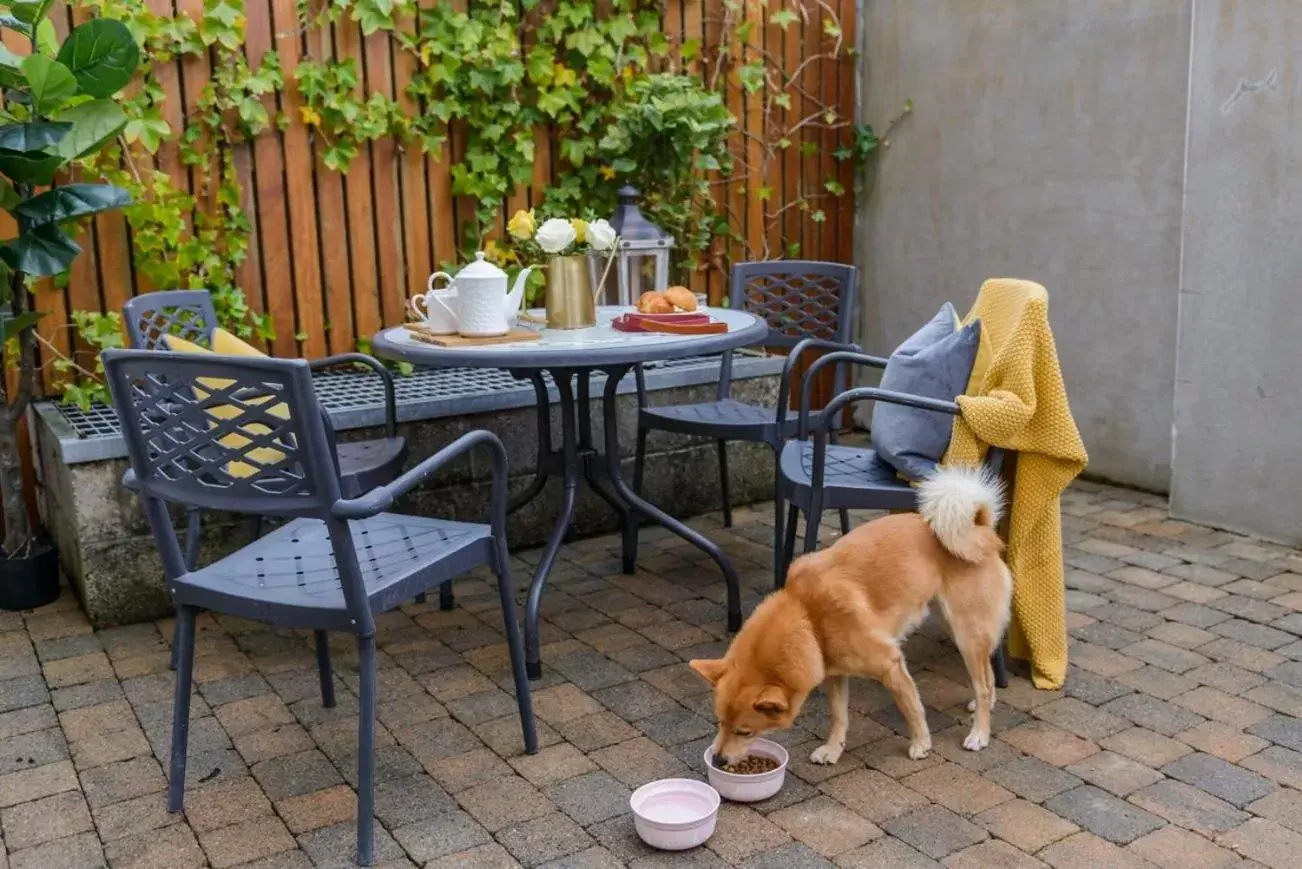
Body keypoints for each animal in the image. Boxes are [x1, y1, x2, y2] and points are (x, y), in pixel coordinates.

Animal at [687, 466, 1010, 766]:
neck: (807, 614)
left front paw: (921, 743)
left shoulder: (891, 665)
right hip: (953, 626)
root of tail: (981, 526)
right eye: (719, 722)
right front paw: (833, 749)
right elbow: (838, 716)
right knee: (988, 674)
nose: (718, 760)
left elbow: (912, 708)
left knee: (982, 684)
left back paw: (979, 733)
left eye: (745, 732)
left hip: (966, 633)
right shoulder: (836, 672)